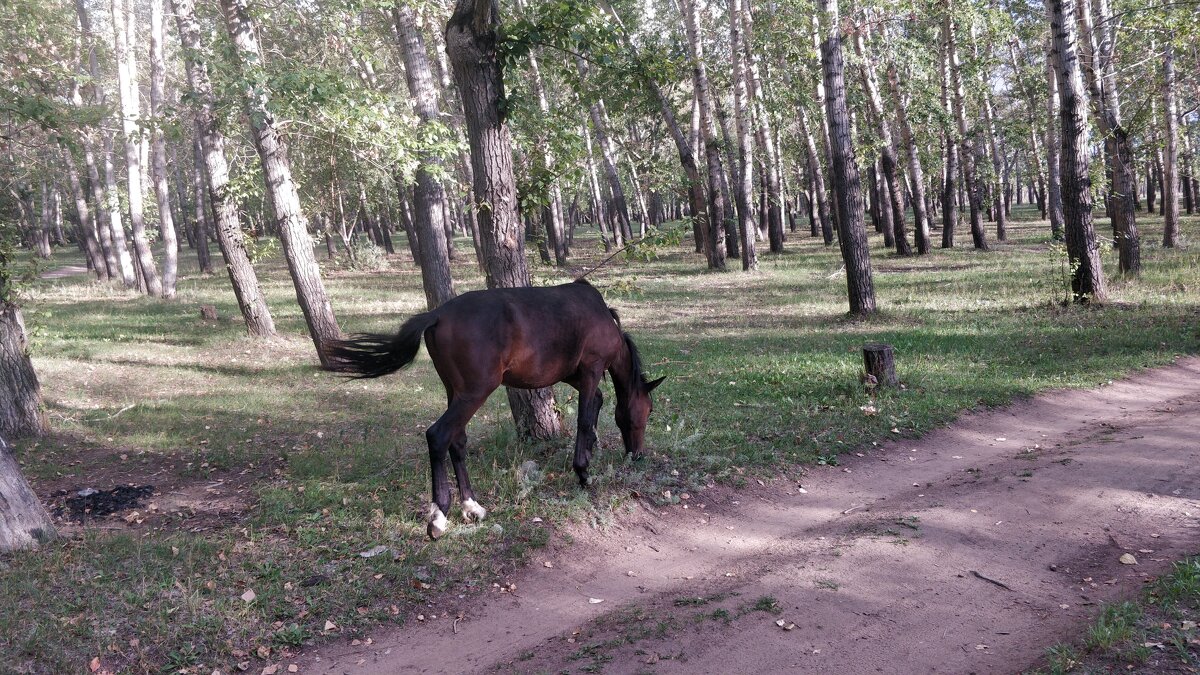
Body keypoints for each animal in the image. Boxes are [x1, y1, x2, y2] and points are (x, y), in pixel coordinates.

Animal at [326, 277, 667, 535]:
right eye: (648, 411)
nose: (638, 454)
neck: (600, 314)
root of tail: (438, 314)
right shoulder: (592, 370)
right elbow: (585, 417)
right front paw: (583, 472)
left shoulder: (574, 375)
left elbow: (595, 405)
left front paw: (590, 451)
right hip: (475, 392)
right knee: (438, 435)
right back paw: (439, 515)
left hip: (456, 391)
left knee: (457, 441)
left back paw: (471, 505)